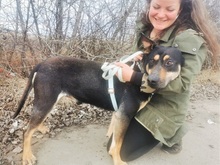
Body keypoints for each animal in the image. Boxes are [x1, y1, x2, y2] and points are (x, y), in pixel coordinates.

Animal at [12, 45, 184, 165]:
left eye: (169, 63)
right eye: (152, 61)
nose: (152, 81)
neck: (138, 76)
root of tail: (41, 63)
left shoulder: (118, 114)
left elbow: (114, 138)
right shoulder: (125, 115)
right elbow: (119, 143)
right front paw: (118, 160)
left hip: (47, 101)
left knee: (34, 122)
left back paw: (40, 128)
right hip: (46, 100)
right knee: (26, 131)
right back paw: (27, 156)